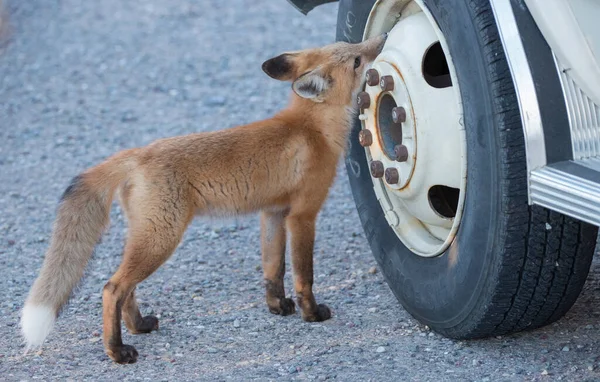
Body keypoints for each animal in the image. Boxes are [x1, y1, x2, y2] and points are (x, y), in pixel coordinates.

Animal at [21, 34, 386, 362]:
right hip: (161, 238)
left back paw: (138, 326)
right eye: (357, 60)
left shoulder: (273, 212)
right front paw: (311, 314)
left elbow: (273, 269)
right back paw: (118, 351)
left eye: (354, 48)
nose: (381, 37)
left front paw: (278, 307)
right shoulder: (303, 214)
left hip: (146, 237)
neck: (312, 129)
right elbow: (303, 274)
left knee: (126, 289)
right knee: (112, 288)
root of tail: (137, 153)